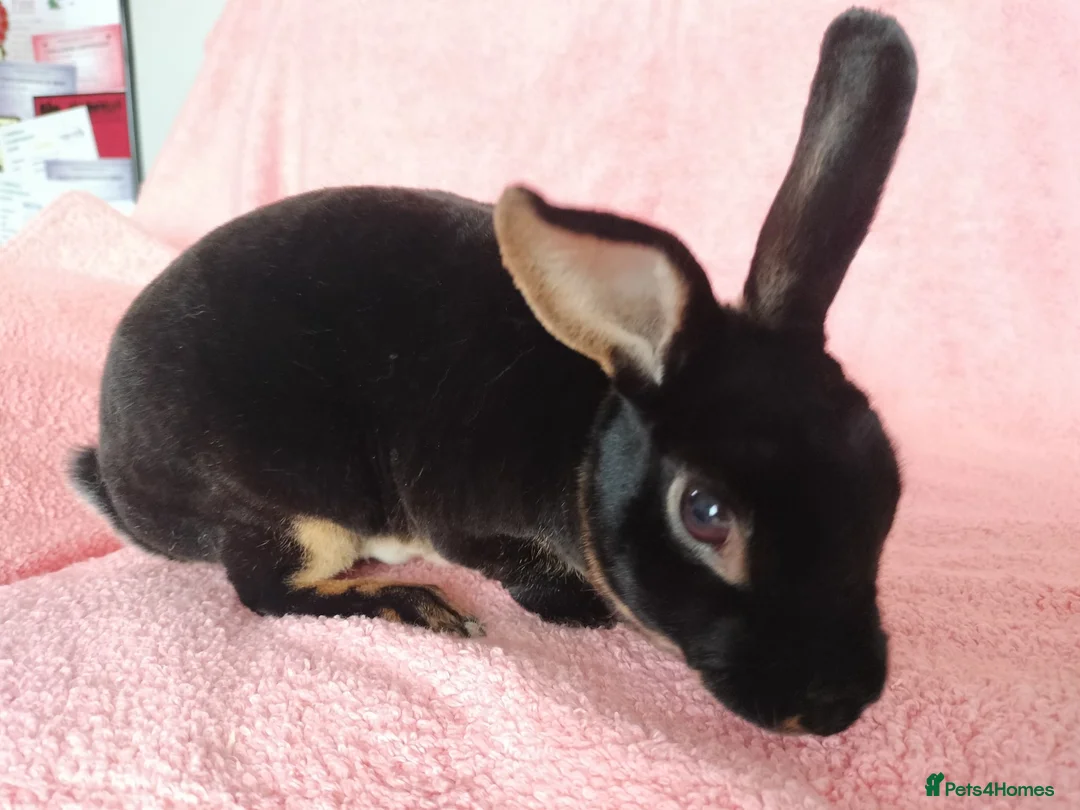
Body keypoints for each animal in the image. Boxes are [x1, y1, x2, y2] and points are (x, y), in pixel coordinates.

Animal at [69, 7, 916, 737]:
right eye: (704, 513)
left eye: (888, 482)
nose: (837, 706)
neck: (590, 437)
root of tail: (114, 474)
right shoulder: (466, 524)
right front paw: (575, 611)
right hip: (292, 514)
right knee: (265, 591)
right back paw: (422, 607)